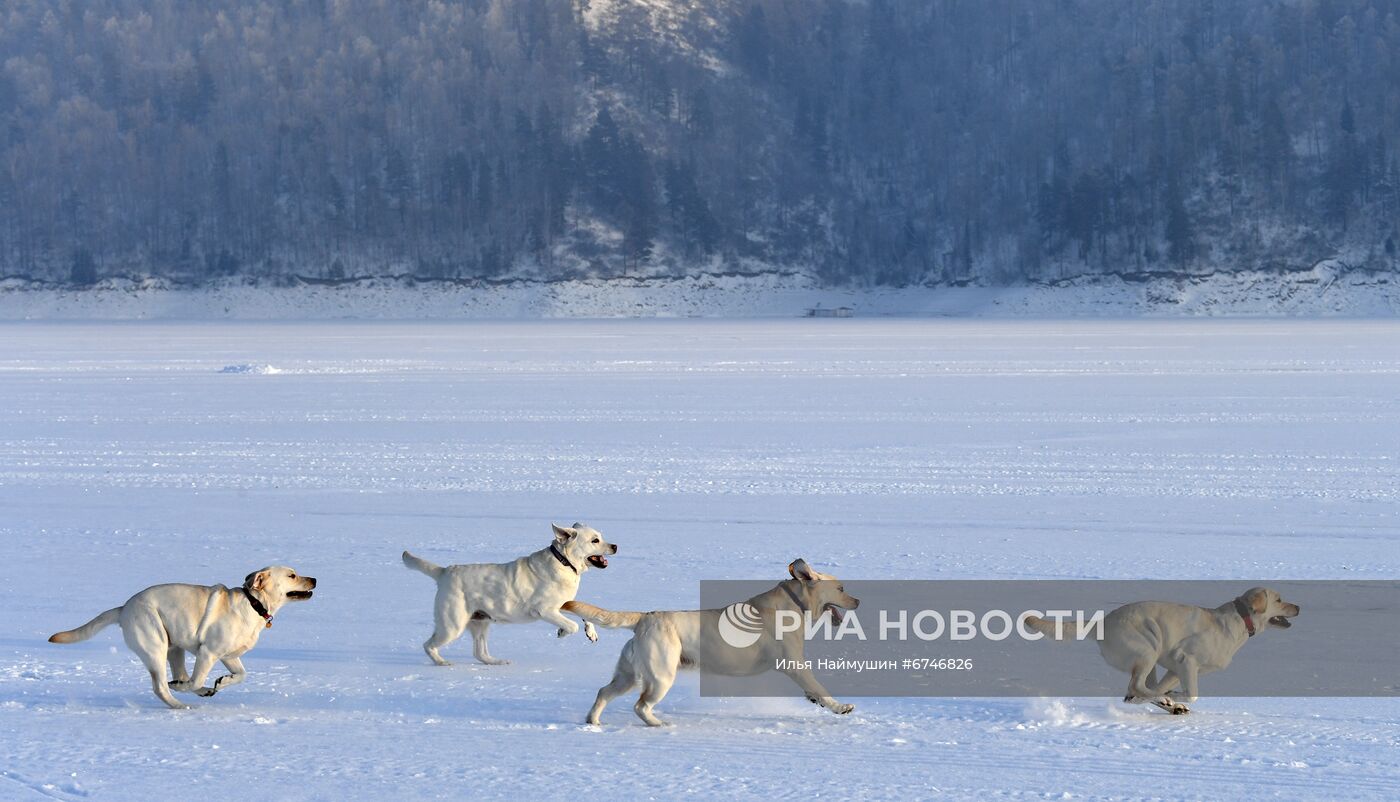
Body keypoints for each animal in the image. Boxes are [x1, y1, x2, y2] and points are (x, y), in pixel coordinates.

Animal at [48, 562, 317, 705]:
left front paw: (222, 681)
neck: (254, 604)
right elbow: (195, 679)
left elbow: (241, 675)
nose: (314, 578)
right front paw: (194, 686)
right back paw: (179, 703)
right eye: (292, 575)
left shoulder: (229, 656)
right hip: (155, 644)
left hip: (173, 647)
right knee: (161, 687)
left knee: (178, 676)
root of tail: (124, 608)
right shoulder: (208, 652)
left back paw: (193, 688)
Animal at [403, 517, 616, 663]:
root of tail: (445, 571)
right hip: (452, 625)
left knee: (479, 653)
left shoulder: (562, 604)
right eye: (595, 540)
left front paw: (591, 632)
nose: (615, 546)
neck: (563, 561)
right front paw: (563, 631)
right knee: (428, 645)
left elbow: (584, 614)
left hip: (480, 622)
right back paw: (443, 663)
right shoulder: (545, 610)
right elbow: (573, 625)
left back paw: (496, 662)